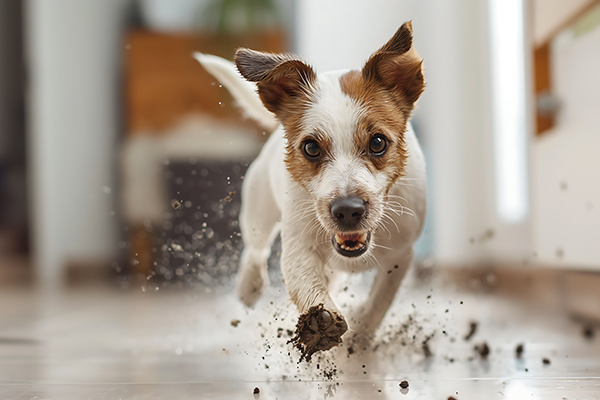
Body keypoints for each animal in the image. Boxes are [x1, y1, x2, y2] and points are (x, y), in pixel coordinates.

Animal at [197, 20, 426, 360]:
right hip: (258, 211)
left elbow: (378, 303)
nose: (347, 211)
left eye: (378, 143)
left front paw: (360, 336)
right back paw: (249, 286)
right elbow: (309, 288)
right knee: (255, 249)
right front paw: (321, 323)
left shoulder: (400, 257)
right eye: (311, 148)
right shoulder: (297, 252)